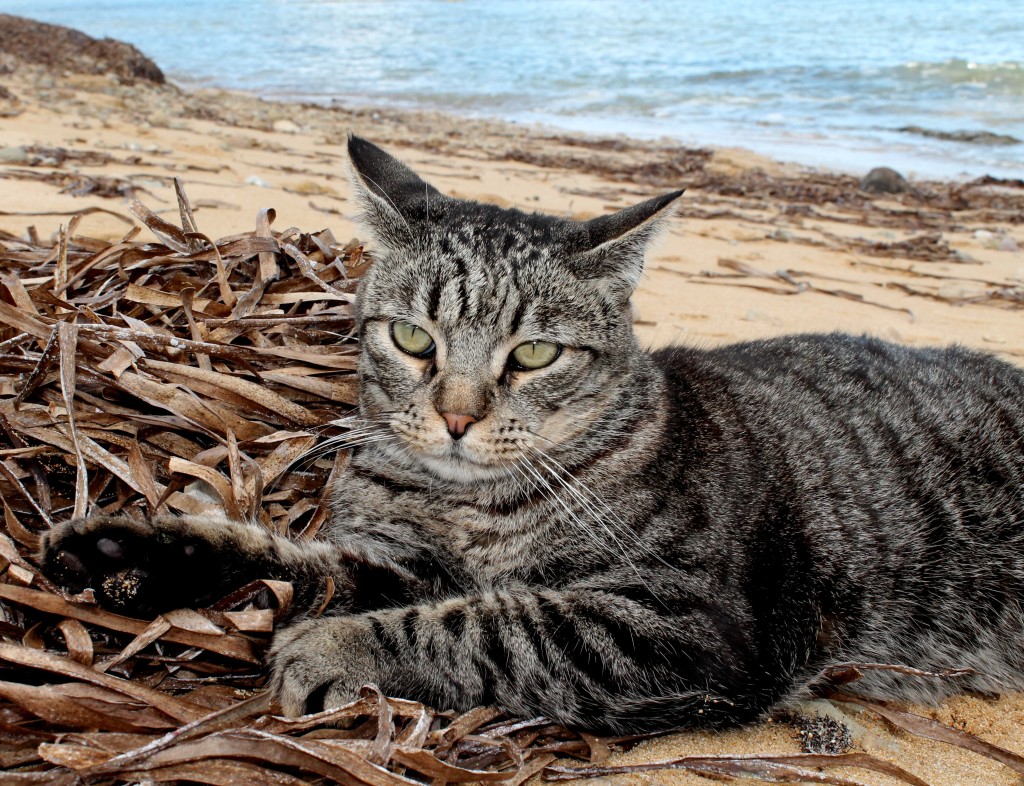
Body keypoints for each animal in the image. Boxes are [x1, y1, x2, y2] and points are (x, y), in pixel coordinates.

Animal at [37, 137, 1024, 736]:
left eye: (536, 354)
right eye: (413, 339)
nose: (457, 417)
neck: (465, 502)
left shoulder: (689, 625)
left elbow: (486, 626)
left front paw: (333, 647)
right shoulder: (397, 554)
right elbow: (288, 560)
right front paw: (137, 553)